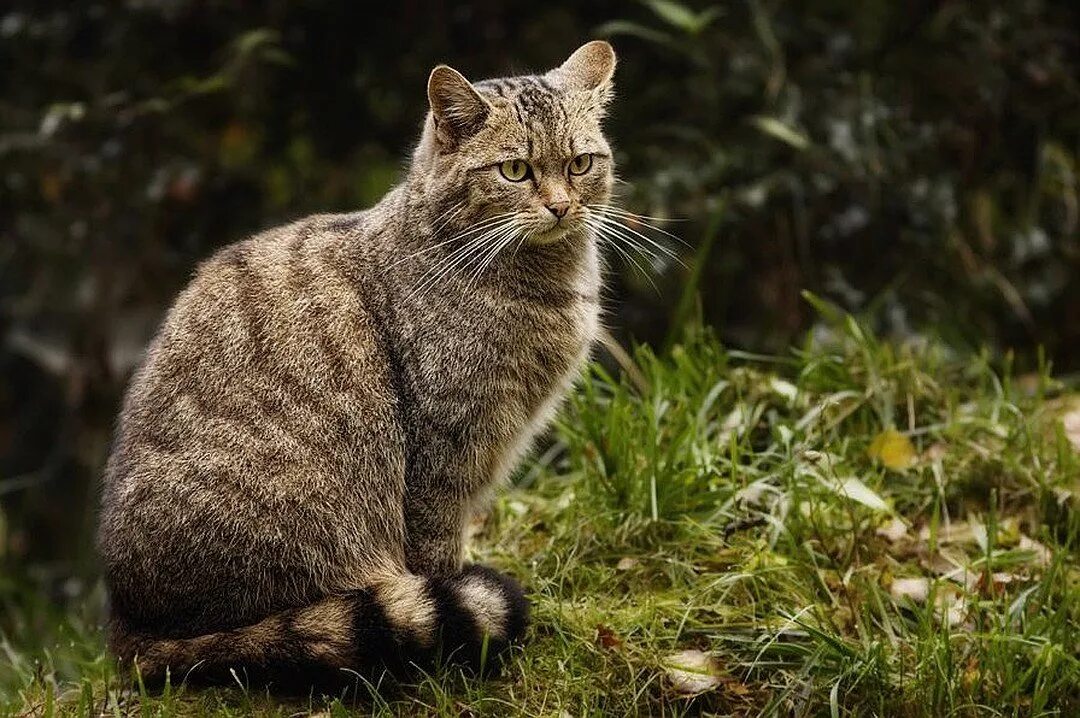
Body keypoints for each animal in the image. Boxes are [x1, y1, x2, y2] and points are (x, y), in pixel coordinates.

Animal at [103, 40, 617, 691]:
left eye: (580, 164)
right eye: (515, 171)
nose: (560, 207)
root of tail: (124, 625)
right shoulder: (442, 452)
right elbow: (437, 553)